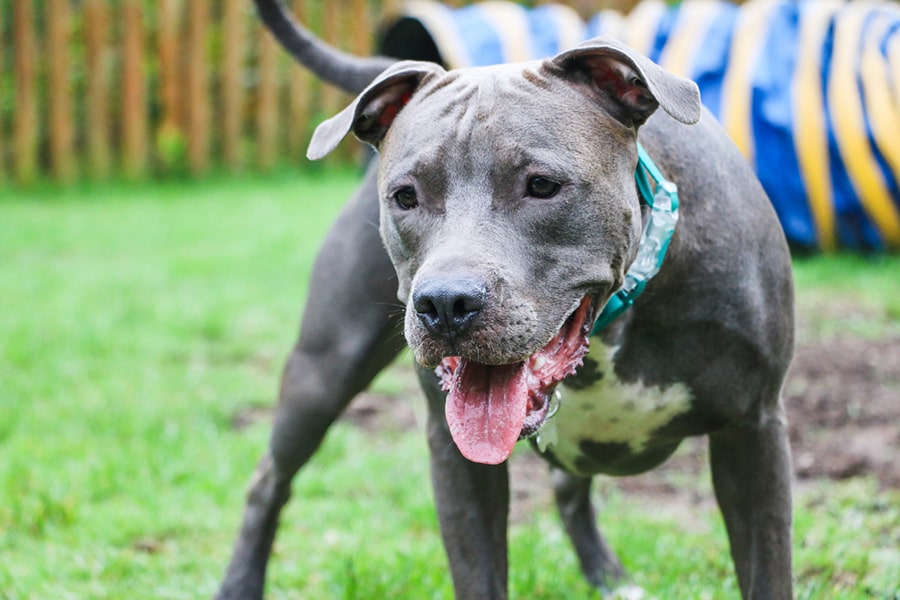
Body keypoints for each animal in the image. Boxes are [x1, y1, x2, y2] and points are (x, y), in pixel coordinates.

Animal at [218, 2, 796, 596]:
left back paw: (607, 576)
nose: (445, 304)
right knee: (269, 480)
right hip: (322, 371)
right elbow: (479, 573)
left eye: (541, 186)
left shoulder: (754, 431)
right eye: (405, 197)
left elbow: (768, 569)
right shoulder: (457, 454)